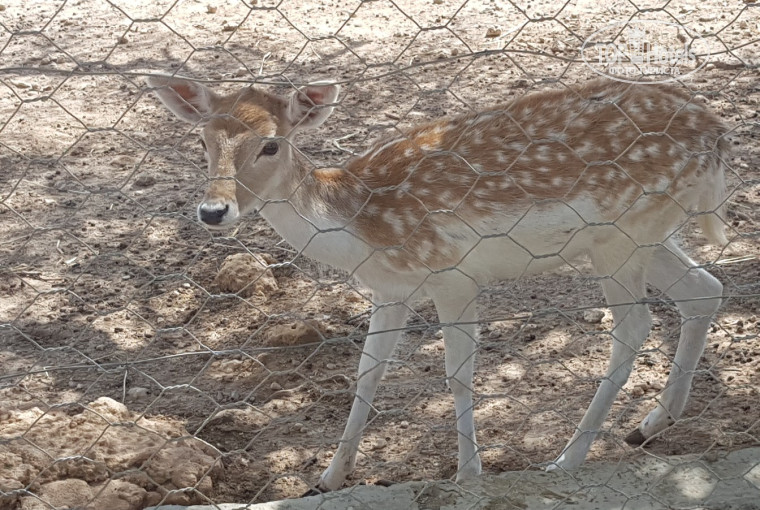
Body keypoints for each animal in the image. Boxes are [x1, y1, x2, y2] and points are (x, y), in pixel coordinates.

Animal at [146, 74, 729, 492]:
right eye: (202, 140)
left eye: (271, 145)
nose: (213, 211)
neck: (360, 228)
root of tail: (718, 134)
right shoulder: (390, 289)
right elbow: (366, 374)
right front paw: (328, 478)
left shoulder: (453, 275)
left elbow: (458, 375)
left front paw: (467, 474)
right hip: (644, 235)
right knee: (705, 288)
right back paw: (650, 425)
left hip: (621, 238)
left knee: (633, 327)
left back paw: (566, 459)